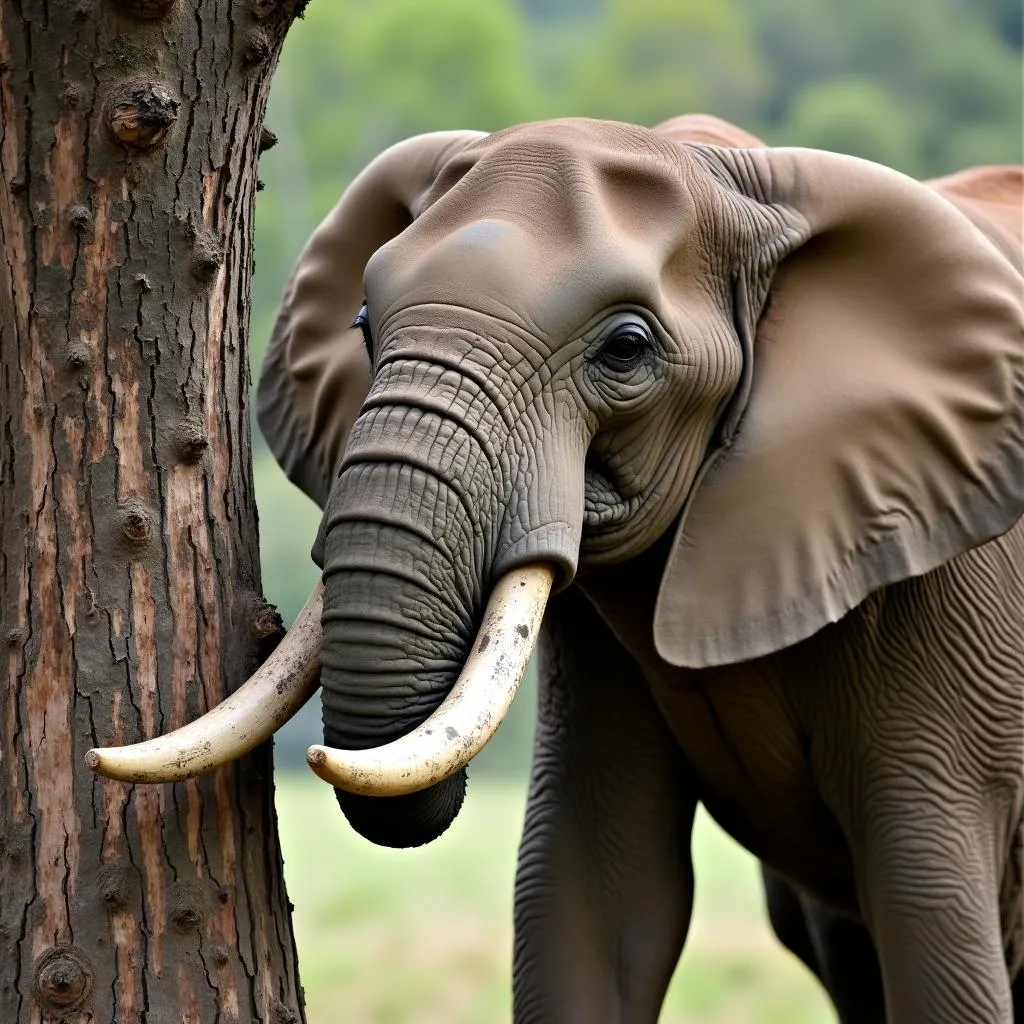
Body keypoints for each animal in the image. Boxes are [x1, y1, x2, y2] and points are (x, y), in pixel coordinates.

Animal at [90, 114, 1024, 1024]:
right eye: (362, 324)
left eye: (626, 349)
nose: (315, 756)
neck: (731, 172)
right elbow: (588, 886)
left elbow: (929, 911)